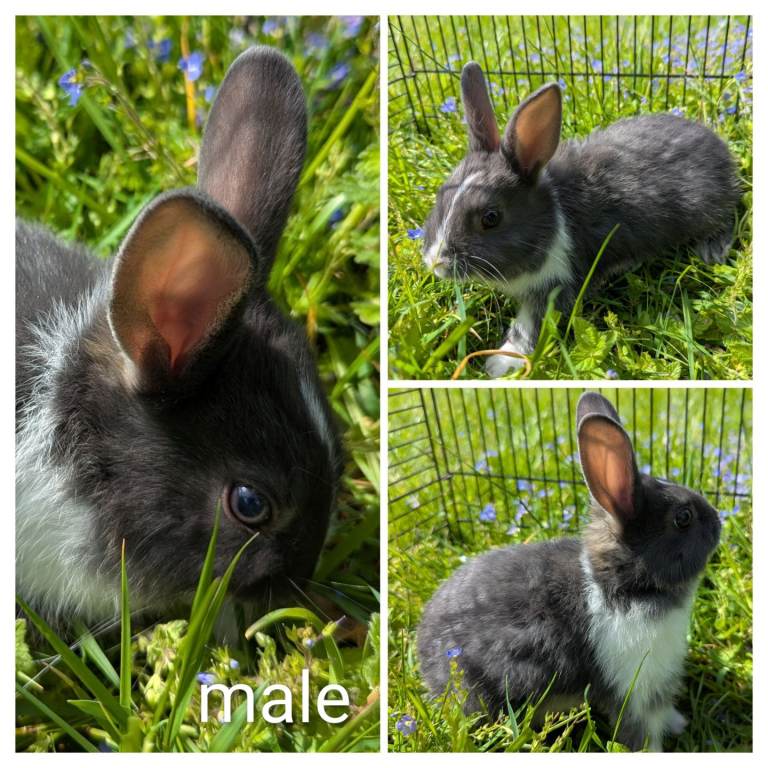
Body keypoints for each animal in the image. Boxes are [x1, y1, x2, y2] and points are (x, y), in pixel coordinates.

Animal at [417, 392, 721, 751]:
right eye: (683, 518)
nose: (718, 521)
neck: (622, 584)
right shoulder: (630, 689)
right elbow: (640, 730)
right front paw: (655, 750)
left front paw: (678, 723)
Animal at [421, 63, 742, 378]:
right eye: (441, 195)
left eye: (491, 218)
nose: (436, 262)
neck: (552, 216)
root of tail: (718, 145)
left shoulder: (558, 282)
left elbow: (529, 325)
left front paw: (501, 363)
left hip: (706, 208)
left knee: (729, 215)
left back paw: (713, 250)